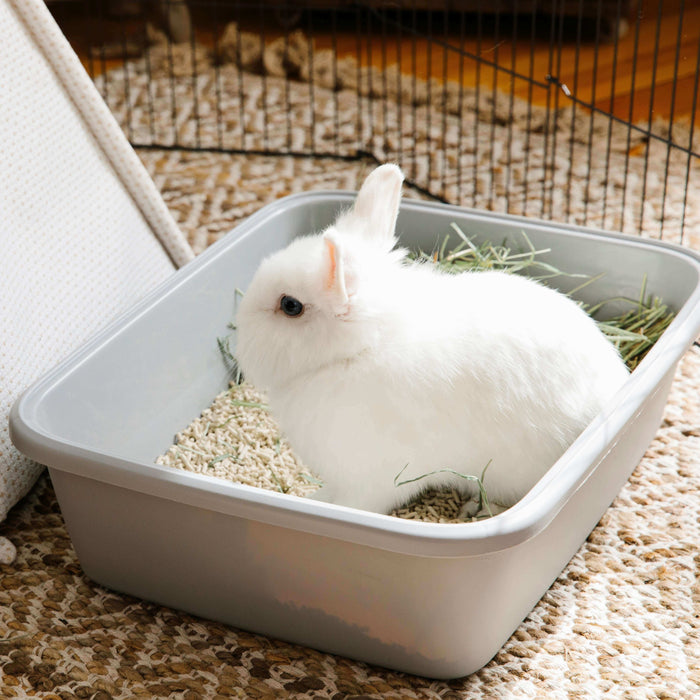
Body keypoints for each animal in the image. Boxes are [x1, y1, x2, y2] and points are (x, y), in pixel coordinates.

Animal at [235, 163, 630, 517]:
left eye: (290, 306)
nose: (240, 344)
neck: (361, 349)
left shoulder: (375, 476)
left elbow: (356, 504)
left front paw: (322, 505)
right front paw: (315, 497)